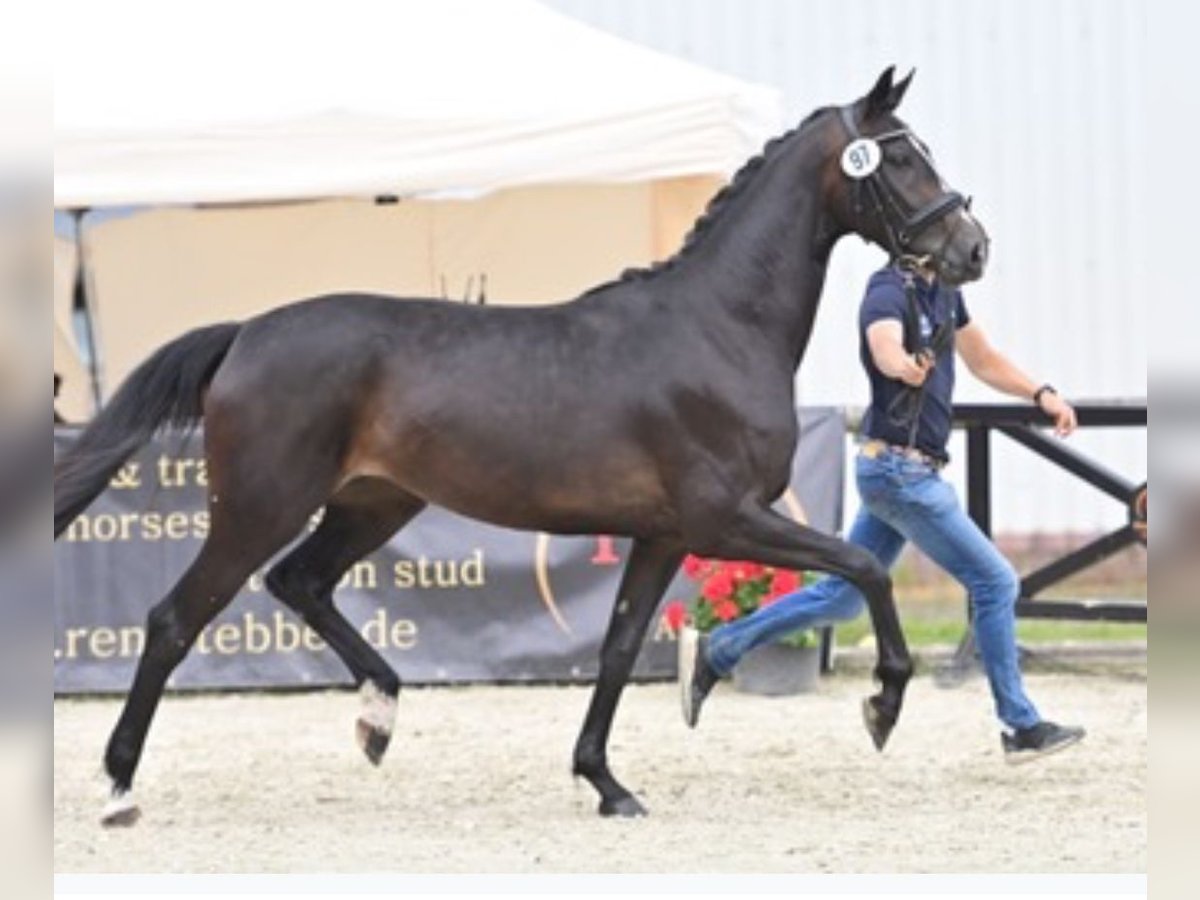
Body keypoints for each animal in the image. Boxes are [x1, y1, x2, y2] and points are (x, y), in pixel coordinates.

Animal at [54, 70, 984, 825]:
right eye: (901, 160)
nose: (971, 248)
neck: (720, 328)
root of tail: (245, 333)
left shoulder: (664, 534)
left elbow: (617, 650)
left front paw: (606, 784)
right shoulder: (726, 518)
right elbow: (863, 570)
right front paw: (882, 707)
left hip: (373, 503)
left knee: (300, 582)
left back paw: (378, 718)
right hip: (260, 506)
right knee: (175, 619)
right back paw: (120, 786)